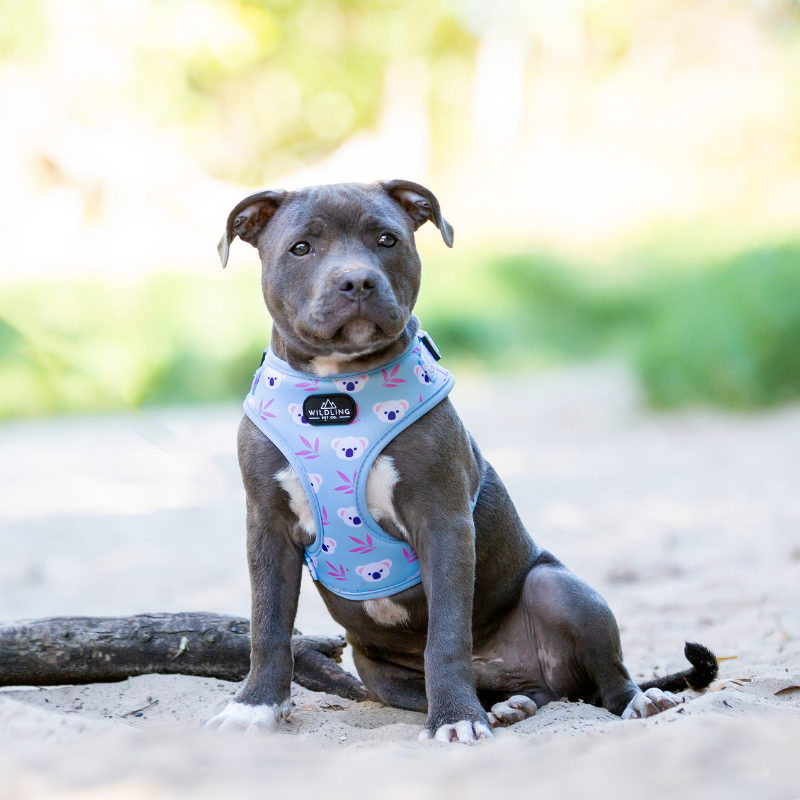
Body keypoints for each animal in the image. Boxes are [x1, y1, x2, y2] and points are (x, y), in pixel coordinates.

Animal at [203, 181, 716, 744]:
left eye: (387, 239)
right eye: (301, 248)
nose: (357, 280)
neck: (338, 392)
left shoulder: (442, 521)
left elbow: (446, 635)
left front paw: (455, 720)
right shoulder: (268, 527)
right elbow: (267, 625)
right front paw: (255, 708)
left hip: (560, 589)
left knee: (608, 677)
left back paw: (637, 702)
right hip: (377, 672)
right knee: (514, 692)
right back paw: (507, 707)